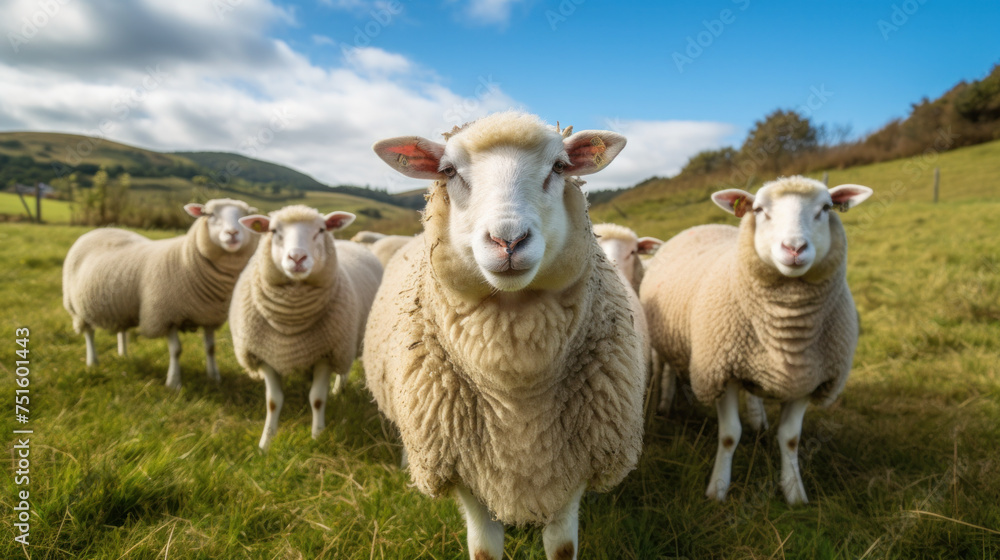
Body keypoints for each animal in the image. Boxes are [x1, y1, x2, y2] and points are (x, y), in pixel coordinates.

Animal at [60, 198, 260, 390]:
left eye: (244, 215)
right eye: (209, 214)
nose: (232, 233)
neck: (185, 258)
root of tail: (100, 230)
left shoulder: (209, 316)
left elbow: (211, 348)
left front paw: (214, 377)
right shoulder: (164, 314)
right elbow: (176, 351)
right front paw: (174, 382)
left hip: (120, 306)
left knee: (121, 329)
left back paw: (123, 354)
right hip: (76, 306)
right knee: (89, 333)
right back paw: (92, 361)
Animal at [229, 206, 382, 450]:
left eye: (321, 230)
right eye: (273, 230)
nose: (297, 257)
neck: (291, 323)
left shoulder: (326, 354)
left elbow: (317, 399)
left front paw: (317, 436)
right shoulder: (265, 356)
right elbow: (273, 402)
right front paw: (265, 443)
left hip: (347, 340)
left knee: (345, 367)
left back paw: (338, 390)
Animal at [364, 111, 644, 560]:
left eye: (559, 167)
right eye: (449, 171)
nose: (508, 240)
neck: (516, 395)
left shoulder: (576, 467)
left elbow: (562, 547)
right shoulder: (461, 472)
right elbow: (484, 550)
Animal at [640, 175, 868, 504]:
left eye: (826, 208)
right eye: (759, 210)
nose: (794, 248)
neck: (787, 330)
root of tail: (702, 225)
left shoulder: (809, 380)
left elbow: (790, 439)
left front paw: (794, 492)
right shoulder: (719, 373)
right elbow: (729, 435)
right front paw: (718, 490)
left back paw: (758, 420)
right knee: (666, 367)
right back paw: (665, 403)